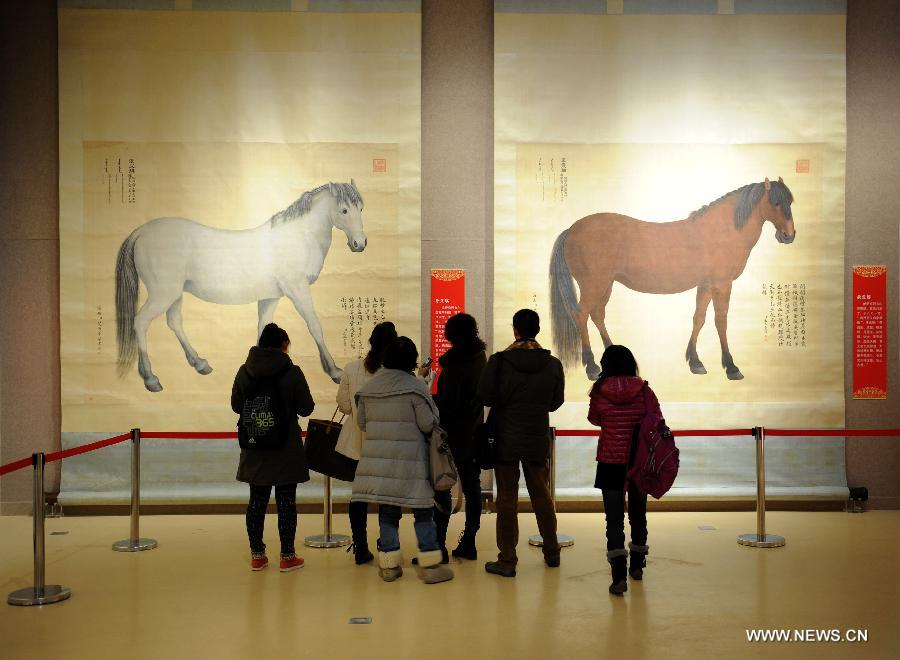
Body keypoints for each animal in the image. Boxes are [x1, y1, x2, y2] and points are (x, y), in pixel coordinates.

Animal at [116, 180, 366, 392]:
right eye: (344, 210)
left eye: (361, 208)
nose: (360, 244)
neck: (297, 238)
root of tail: (142, 231)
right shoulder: (298, 289)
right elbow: (314, 325)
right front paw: (334, 371)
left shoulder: (270, 297)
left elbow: (263, 328)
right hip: (163, 294)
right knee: (140, 322)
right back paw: (150, 378)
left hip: (174, 293)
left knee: (174, 322)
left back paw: (199, 363)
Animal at [548, 178, 796, 382]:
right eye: (775, 202)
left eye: (790, 201)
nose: (789, 236)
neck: (721, 231)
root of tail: (571, 230)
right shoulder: (722, 284)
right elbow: (721, 321)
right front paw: (731, 367)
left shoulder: (706, 285)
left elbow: (699, 319)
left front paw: (695, 362)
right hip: (593, 285)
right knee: (581, 315)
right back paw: (591, 366)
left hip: (605, 285)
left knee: (597, 315)